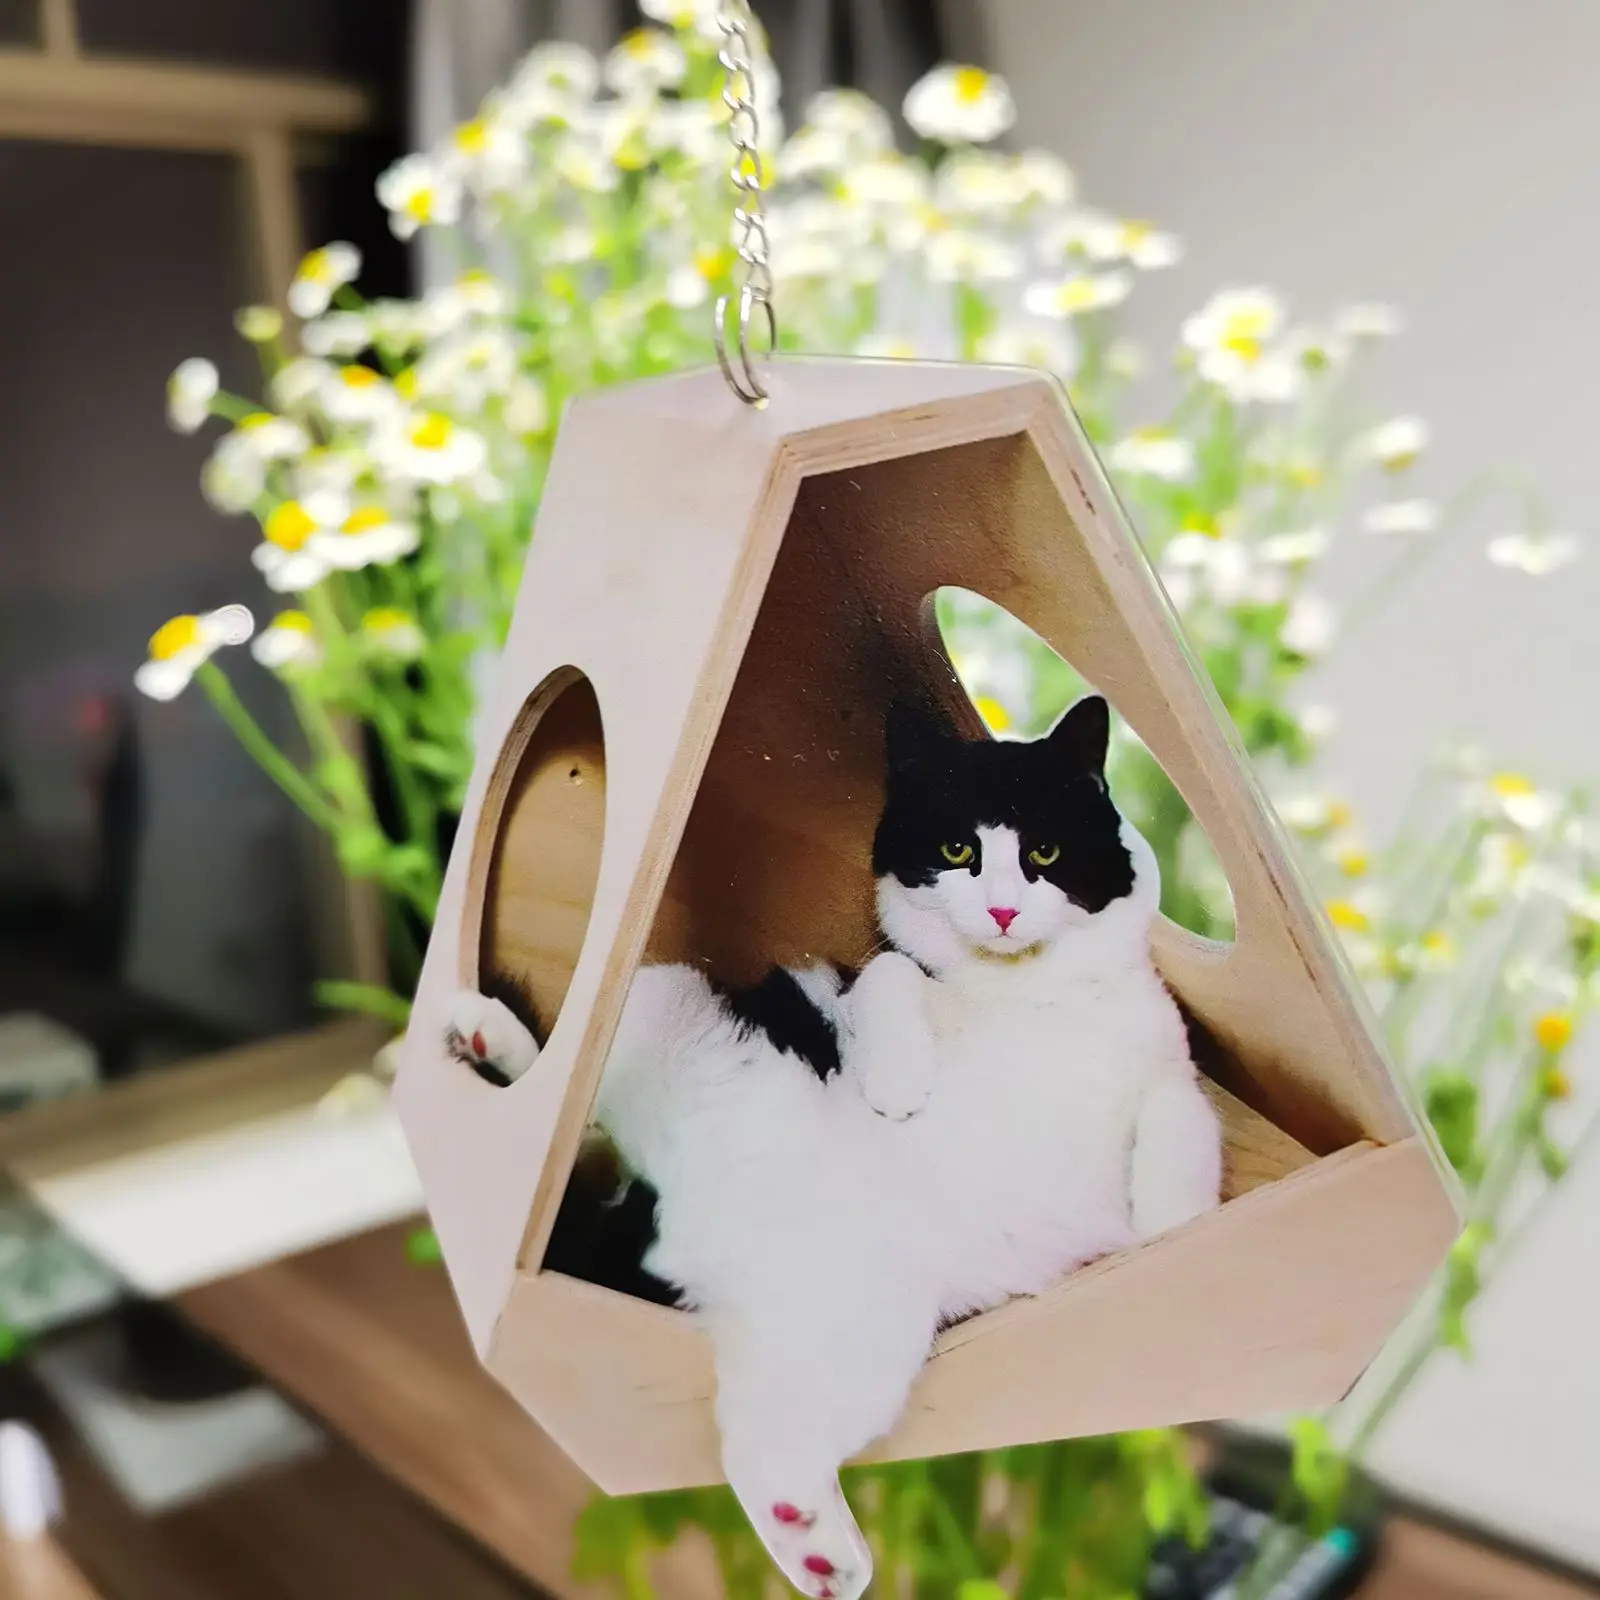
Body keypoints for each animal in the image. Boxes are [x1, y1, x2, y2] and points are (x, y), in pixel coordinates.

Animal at [446, 695, 1224, 1600]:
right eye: (957, 851)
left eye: (1045, 851)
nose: (1002, 911)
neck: (1024, 992)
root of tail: (673, 1223)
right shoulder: (849, 980)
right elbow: (891, 977)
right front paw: (896, 1082)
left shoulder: (1167, 1064)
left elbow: (1182, 1107)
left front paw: (1174, 1213)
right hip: (652, 1001)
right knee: (572, 1095)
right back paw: (485, 1037)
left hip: (858, 1334)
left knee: (761, 1437)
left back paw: (813, 1543)